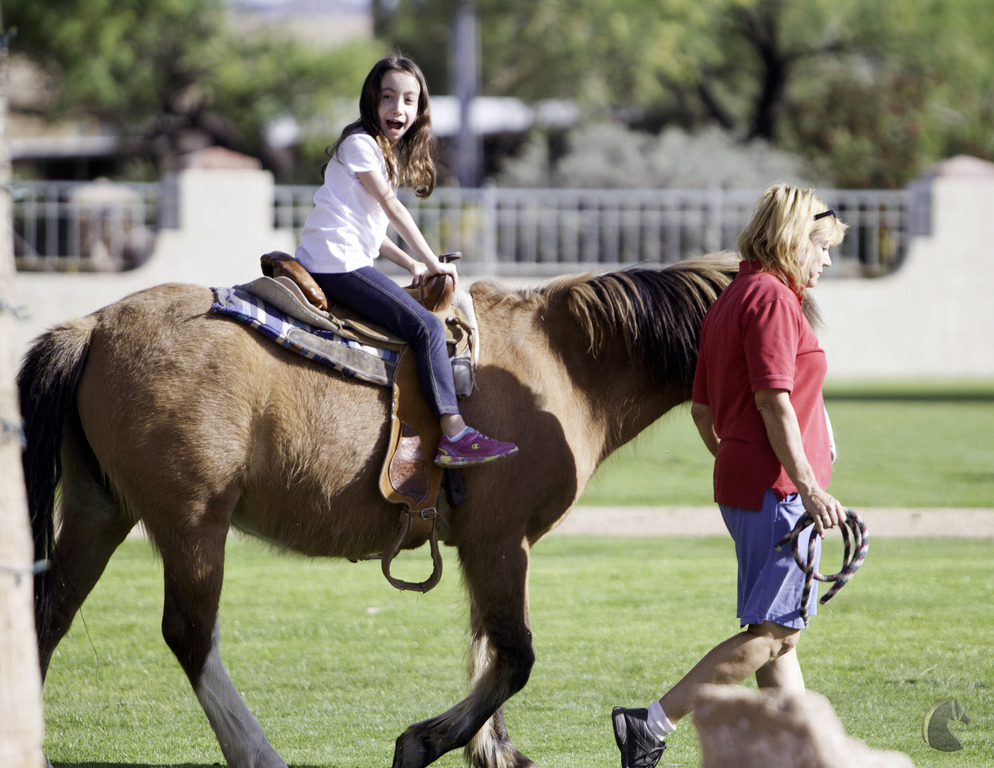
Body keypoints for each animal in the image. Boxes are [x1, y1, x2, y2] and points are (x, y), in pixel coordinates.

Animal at [18, 253, 738, 768]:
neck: (562, 364)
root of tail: (92, 327)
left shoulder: (488, 549)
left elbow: (487, 646)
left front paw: (492, 750)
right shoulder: (500, 541)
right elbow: (513, 655)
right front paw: (425, 742)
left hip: (98, 511)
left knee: (48, 615)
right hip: (193, 521)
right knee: (191, 634)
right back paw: (258, 751)